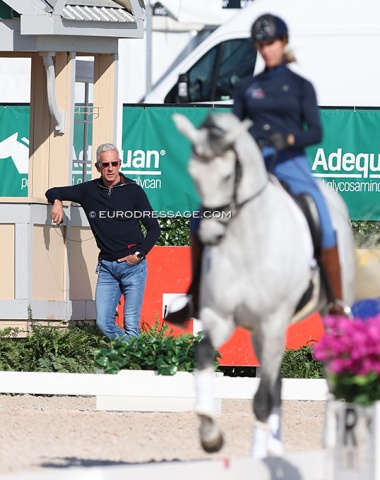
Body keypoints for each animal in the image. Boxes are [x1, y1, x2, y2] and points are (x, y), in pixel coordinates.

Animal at [172, 111, 356, 458]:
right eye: (193, 174)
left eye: (228, 176)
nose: (211, 234)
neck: (247, 239)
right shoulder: (221, 318)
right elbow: (204, 355)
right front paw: (210, 433)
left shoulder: (273, 323)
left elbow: (261, 400)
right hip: (259, 332)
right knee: (276, 386)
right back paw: (275, 447)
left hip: (328, 313)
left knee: (328, 372)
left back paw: (328, 442)